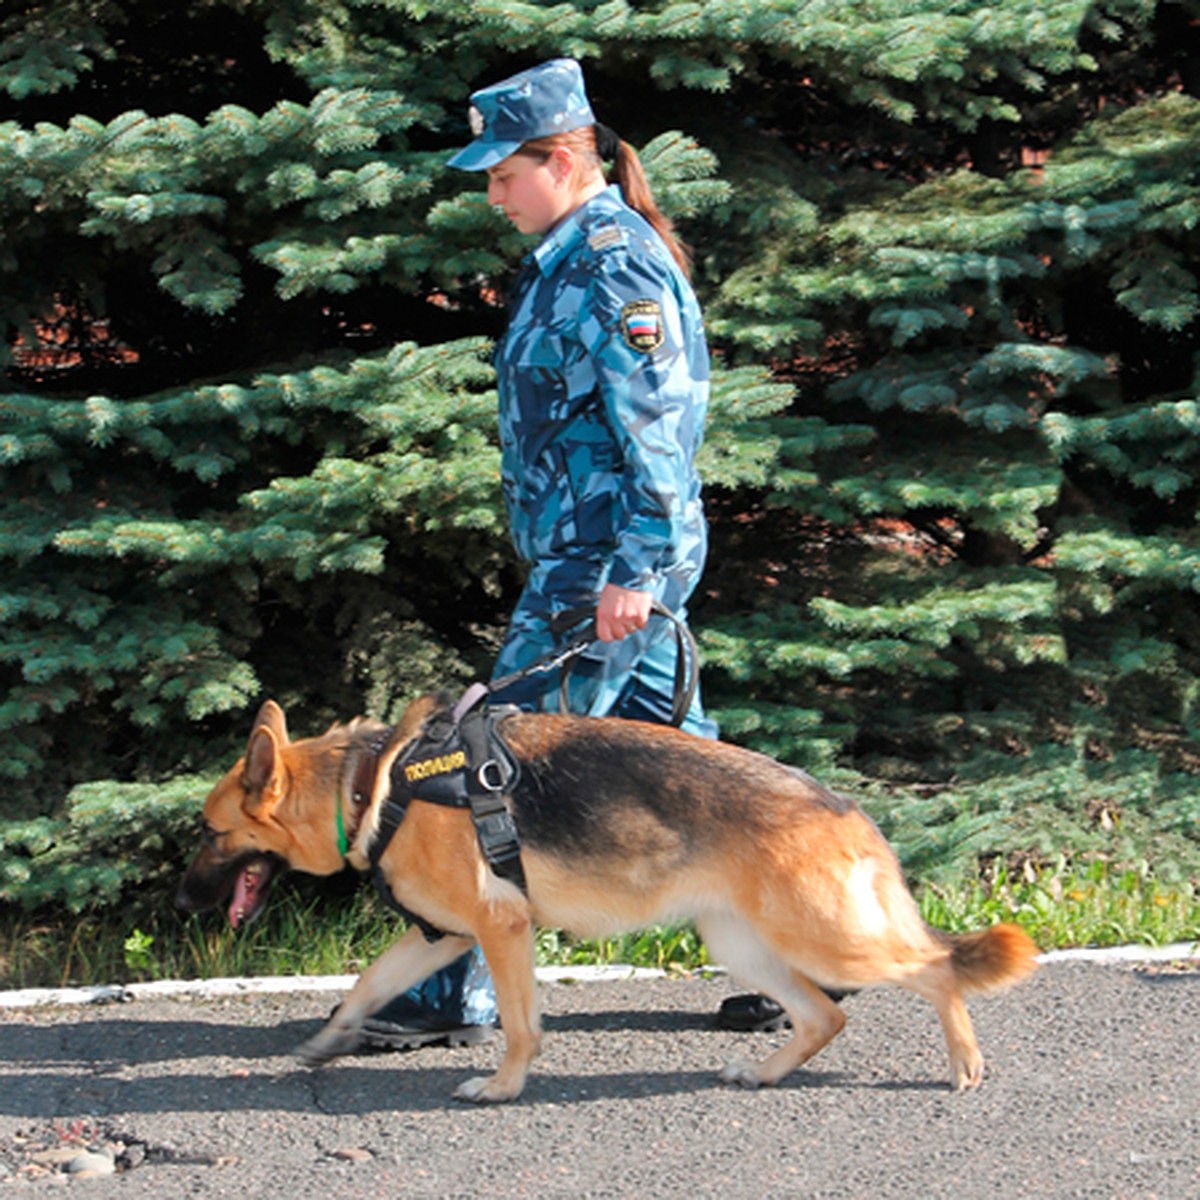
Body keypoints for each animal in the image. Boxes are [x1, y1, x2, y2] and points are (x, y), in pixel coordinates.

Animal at [177, 700, 1041, 1099]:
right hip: (742, 946)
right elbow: (364, 986)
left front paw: (502, 1089)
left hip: (825, 940)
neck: (371, 783)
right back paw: (764, 1073)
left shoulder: (501, 929)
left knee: (935, 970)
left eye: (209, 833)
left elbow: (522, 1026)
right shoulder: (440, 938)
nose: (184, 906)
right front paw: (327, 1042)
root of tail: (844, 805)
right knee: (827, 1016)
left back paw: (964, 1061)